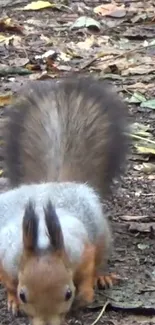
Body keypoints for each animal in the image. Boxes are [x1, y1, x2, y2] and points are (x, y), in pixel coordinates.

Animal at [0, 75, 129, 324]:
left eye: (68, 293)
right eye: (23, 295)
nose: (48, 323)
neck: (42, 241)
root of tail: (55, 183)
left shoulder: (81, 250)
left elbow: (87, 270)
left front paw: (86, 293)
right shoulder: (6, 259)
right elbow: (8, 282)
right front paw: (12, 301)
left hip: (101, 235)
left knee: (100, 258)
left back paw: (103, 277)